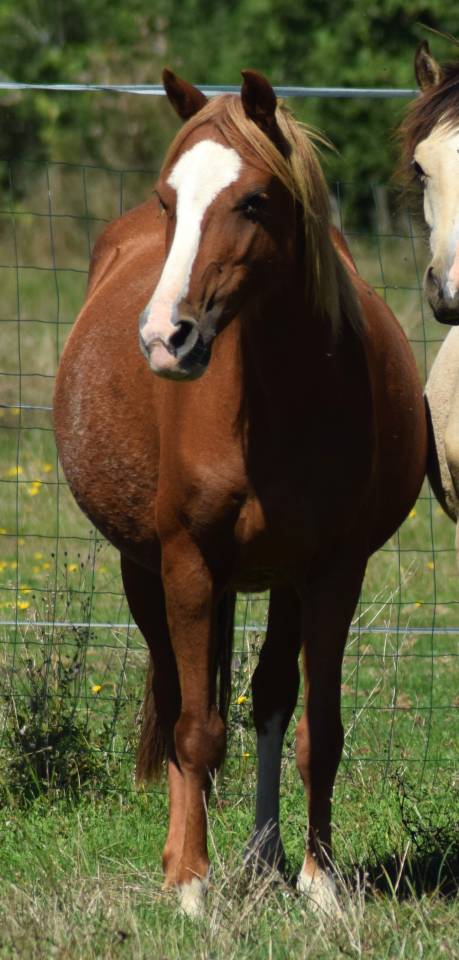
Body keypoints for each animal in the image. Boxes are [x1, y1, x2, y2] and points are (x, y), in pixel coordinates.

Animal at [54, 69, 427, 917]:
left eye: (255, 200)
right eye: (167, 199)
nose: (166, 338)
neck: (276, 398)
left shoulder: (332, 572)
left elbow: (315, 728)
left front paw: (318, 884)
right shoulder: (189, 564)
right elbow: (196, 728)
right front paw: (192, 889)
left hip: (279, 582)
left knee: (267, 698)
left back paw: (264, 860)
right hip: (144, 574)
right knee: (177, 706)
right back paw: (179, 863)